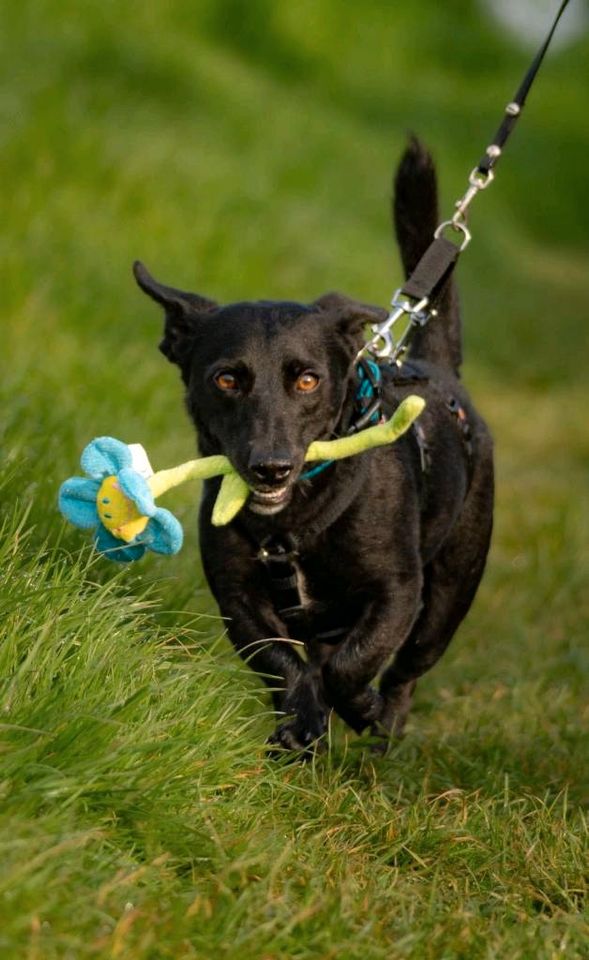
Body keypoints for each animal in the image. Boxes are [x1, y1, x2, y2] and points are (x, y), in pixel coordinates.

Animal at [132, 141, 492, 752]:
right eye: (226, 379)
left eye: (307, 381)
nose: (271, 468)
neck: (293, 520)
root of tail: (439, 369)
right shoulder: (239, 598)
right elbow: (282, 661)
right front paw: (300, 722)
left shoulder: (397, 590)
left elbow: (357, 662)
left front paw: (359, 706)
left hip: (450, 591)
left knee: (408, 665)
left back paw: (385, 723)